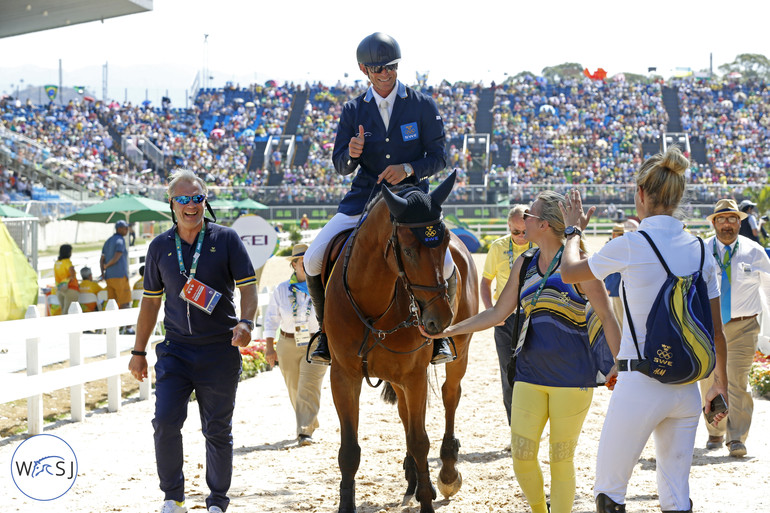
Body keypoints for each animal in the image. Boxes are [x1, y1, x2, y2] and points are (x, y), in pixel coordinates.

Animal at [320, 172, 476, 512]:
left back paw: (446, 472)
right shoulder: (343, 376)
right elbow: (349, 450)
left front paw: (428, 499)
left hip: (459, 350)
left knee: (450, 395)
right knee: (406, 413)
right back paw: (412, 479)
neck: (375, 299)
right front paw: (346, 504)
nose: (440, 318)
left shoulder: (414, 375)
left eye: (444, 242)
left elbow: (420, 441)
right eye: (408, 249)